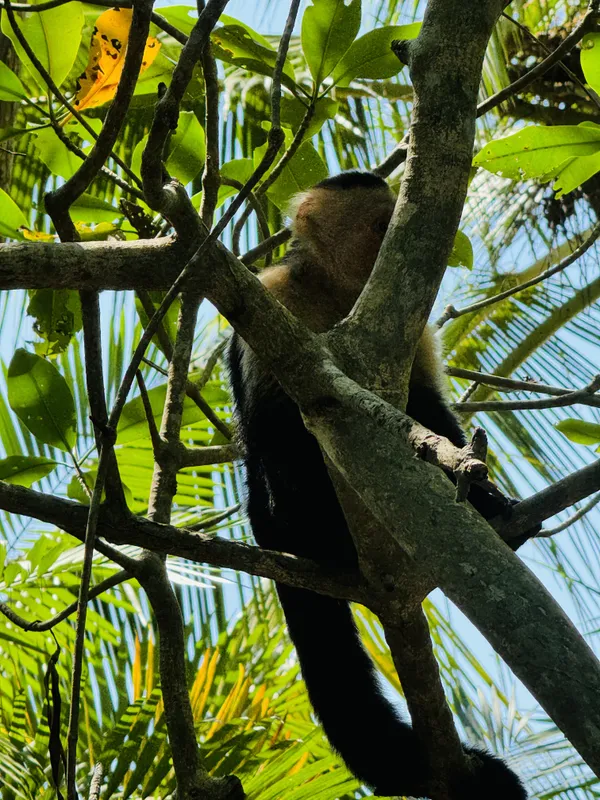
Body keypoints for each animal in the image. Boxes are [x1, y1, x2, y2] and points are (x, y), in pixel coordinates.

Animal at [227, 170, 532, 800]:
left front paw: (484, 496)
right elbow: (276, 419)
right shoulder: (273, 293)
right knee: (277, 464)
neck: (345, 298)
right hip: (278, 518)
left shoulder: (410, 331)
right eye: (377, 227)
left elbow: (430, 412)